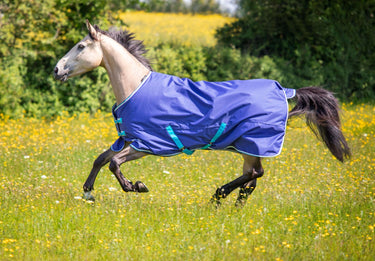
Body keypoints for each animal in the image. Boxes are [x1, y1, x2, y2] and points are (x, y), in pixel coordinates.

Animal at [53, 20, 352, 205]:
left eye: (81, 46)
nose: (56, 70)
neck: (135, 86)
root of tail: (284, 91)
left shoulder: (148, 145)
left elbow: (114, 163)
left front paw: (136, 186)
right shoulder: (128, 139)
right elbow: (100, 158)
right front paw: (88, 193)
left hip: (252, 144)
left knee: (255, 175)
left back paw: (217, 196)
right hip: (249, 147)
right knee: (253, 178)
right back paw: (230, 206)